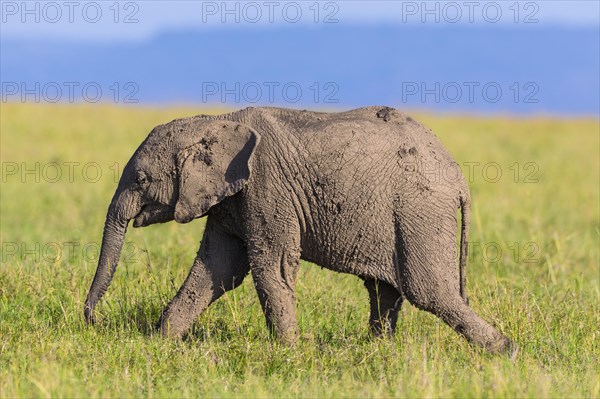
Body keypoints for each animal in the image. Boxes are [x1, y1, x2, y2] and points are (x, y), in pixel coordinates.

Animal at [83, 106, 516, 356]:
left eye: (141, 179)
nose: (93, 322)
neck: (214, 120)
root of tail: (459, 178)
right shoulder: (231, 197)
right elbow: (217, 270)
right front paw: (159, 343)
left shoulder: (265, 187)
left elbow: (270, 268)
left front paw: (290, 353)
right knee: (386, 290)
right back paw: (379, 354)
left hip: (420, 210)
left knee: (428, 291)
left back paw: (504, 351)